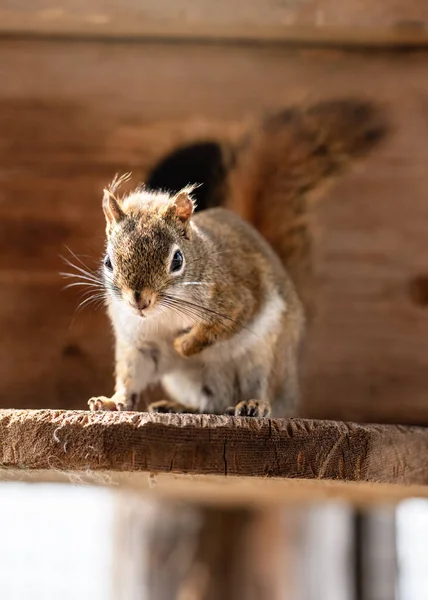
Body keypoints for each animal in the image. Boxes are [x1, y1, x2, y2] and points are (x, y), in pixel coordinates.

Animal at [87, 173, 304, 418]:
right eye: (108, 262)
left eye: (177, 260)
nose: (139, 302)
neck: (164, 313)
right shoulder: (139, 344)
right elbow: (131, 379)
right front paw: (112, 401)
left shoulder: (237, 299)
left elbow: (217, 329)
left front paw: (182, 345)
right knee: (208, 405)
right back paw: (177, 407)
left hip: (266, 359)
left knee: (264, 390)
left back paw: (253, 404)